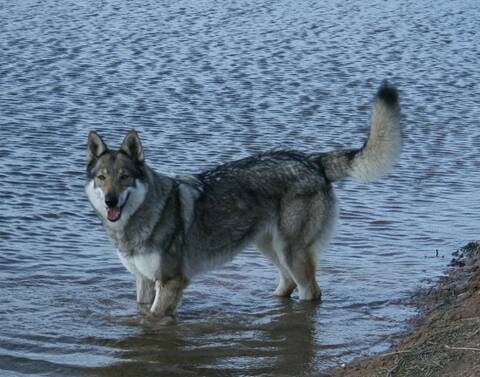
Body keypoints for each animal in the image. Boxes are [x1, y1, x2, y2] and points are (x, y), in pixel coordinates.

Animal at [85, 83, 402, 320]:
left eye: (125, 177)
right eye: (102, 178)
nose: (111, 201)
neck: (143, 218)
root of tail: (313, 161)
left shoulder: (172, 281)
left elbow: (154, 317)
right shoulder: (144, 282)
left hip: (291, 252)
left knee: (310, 291)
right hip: (271, 248)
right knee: (287, 284)